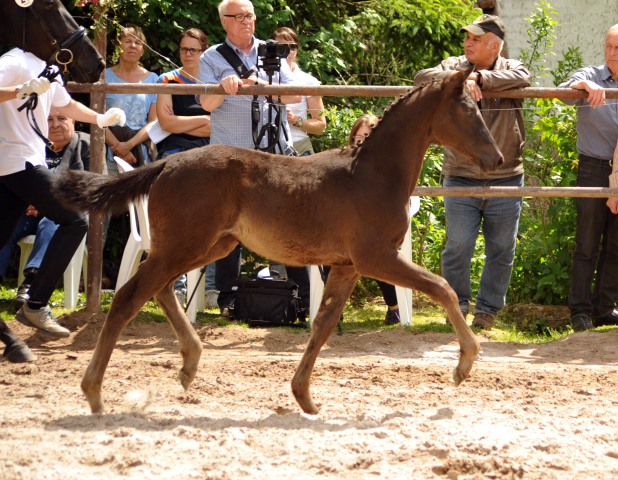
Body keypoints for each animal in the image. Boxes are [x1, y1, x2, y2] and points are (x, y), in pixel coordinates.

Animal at [54, 65, 500, 414]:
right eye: (468, 110)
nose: (495, 159)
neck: (371, 174)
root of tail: (166, 164)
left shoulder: (347, 266)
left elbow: (323, 323)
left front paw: (304, 396)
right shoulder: (377, 258)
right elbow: (442, 287)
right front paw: (464, 364)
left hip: (207, 246)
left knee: (160, 289)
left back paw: (189, 364)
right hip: (187, 245)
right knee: (129, 297)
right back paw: (94, 392)